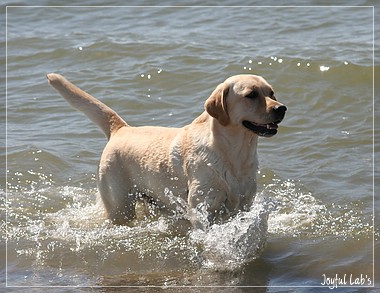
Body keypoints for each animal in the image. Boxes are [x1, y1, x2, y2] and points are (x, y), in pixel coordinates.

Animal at [46, 73, 284, 228]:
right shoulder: (202, 208)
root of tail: (121, 129)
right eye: (251, 95)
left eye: (271, 93)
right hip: (119, 206)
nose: (282, 108)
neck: (234, 155)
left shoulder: (244, 205)